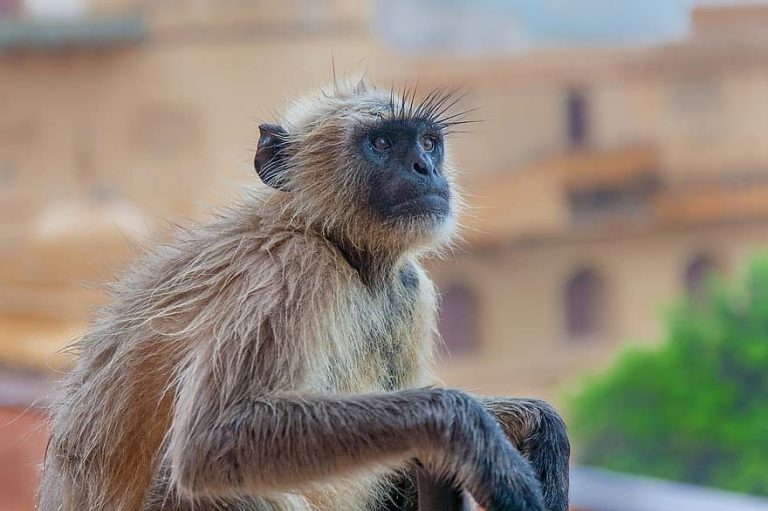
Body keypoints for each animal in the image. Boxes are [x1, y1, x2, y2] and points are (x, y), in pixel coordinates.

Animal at [39, 79, 569, 511]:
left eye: (428, 143)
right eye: (381, 142)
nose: (425, 168)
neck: (333, 242)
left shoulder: (407, 289)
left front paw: (538, 426)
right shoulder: (291, 266)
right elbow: (215, 439)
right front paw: (471, 431)